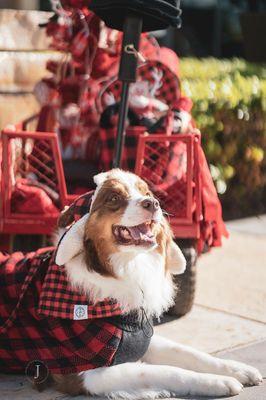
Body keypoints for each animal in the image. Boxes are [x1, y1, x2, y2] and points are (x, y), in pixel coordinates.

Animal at [0, 168, 262, 396]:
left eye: (146, 193)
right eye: (114, 198)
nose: (153, 204)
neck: (122, 268)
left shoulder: (139, 338)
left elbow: (189, 352)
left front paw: (236, 369)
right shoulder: (85, 372)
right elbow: (165, 372)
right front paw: (218, 382)